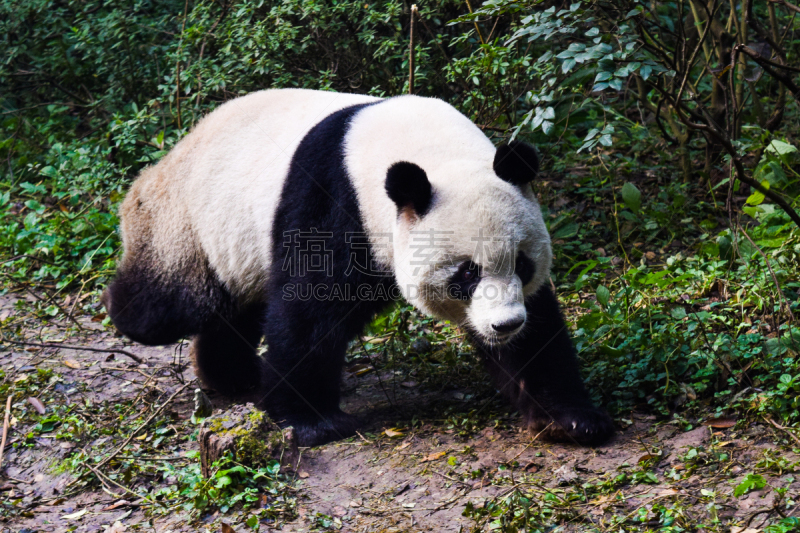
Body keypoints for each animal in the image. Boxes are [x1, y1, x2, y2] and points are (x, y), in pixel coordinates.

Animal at [100, 89, 612, 446]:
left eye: (522, 264)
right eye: (467, 273)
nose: (505, 325)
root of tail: (178, 148)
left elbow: (539, 328)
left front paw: (569, 419)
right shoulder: (333, 199)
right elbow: (309, 310)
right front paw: (313, 422)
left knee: (236, 310)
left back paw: (234, 377)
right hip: (189, 221)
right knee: (169, 303)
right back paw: (122, 305)